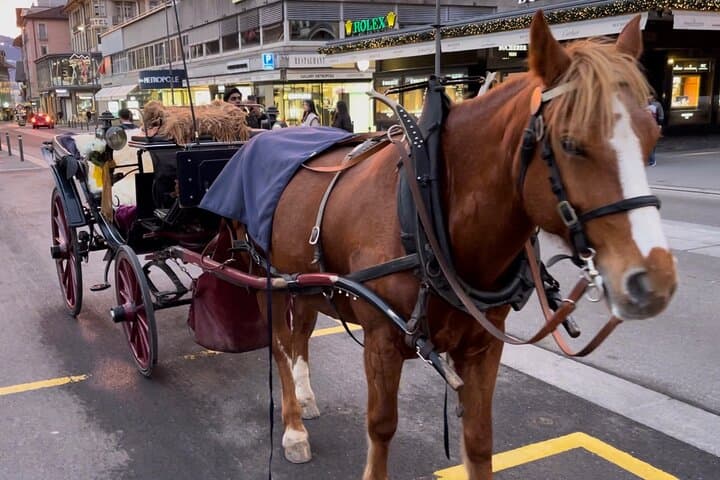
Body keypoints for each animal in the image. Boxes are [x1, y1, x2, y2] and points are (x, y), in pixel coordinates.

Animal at [259, 12, 677, 479]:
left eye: (652, 135)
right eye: (570, 143)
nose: (654, 280)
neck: (429, 212)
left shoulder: (482, 347)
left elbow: (479, 441)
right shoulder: (381, 341)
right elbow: (381, 428)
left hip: (305, 285)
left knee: (301, 336)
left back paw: (305, 399)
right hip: (267, 281)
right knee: (280, 347)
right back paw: (293, 427)